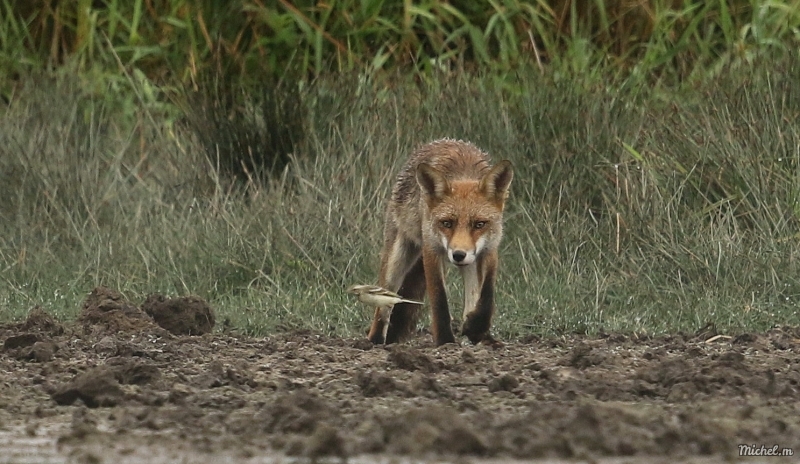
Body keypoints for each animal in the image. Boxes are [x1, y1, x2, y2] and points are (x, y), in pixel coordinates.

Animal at [368, 140, 512, 346]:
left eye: (479, 224)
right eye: (447, 223)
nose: (458, 255)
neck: (464, 171)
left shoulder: (489, 249)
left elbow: (487, 295)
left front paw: (476, 327)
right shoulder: (432, 249)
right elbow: (439, 300)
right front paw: (445, 342)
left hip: (469, 262)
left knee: (471, 297)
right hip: (396, 262)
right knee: (384, 305)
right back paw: (374, 341)